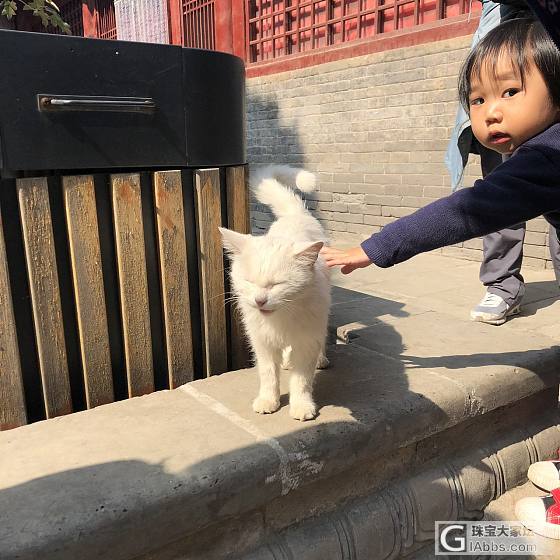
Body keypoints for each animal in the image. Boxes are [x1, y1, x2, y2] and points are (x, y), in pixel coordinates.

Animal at [220, 164, 332, 418]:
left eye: (277, 284)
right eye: (249, 281)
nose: (260, 300)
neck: (282, 318)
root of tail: (296, 215)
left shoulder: (306, 340)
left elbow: (302, 379)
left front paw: (301, 405)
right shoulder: (262, 342)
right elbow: (268, 374)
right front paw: (268, 400)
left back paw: (320, 359)